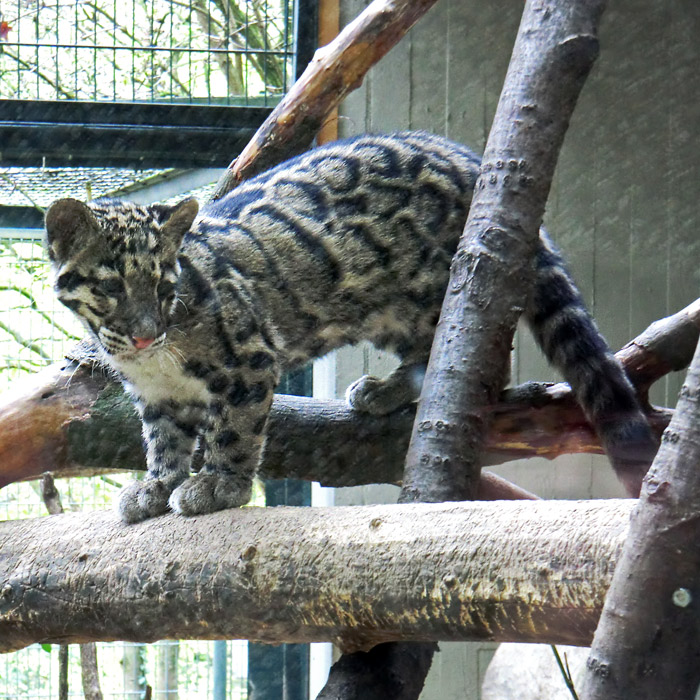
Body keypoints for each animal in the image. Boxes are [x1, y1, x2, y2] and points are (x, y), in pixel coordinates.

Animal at [43, 131, 656, 520]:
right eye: (112, 288)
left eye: (164, 288)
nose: (146, 333)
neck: (152, 362)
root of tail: (468, 159)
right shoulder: (158, 397)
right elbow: (164, 442)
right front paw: (156, 487)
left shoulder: (249, 360)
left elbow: (233, 431)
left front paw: (220, 484)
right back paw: (386, 390)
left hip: (431, 290)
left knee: (483, 353)